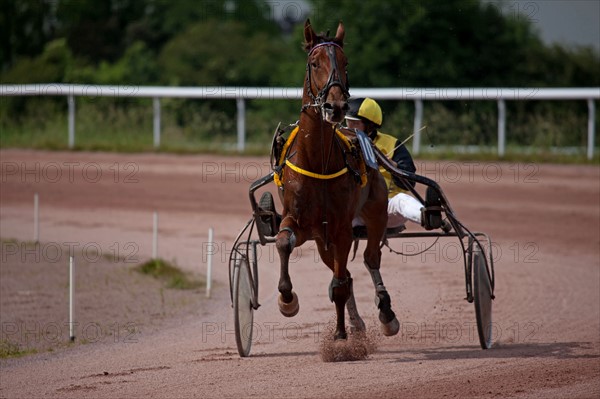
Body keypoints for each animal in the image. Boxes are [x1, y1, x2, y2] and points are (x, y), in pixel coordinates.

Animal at [276, 19, 398, 340]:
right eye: (314, 62)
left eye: (345, 62)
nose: (336, 106)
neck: (317, 160)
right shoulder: (301, 222)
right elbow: (283, 242)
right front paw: (287, 299)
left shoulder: (342, 228)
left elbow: (342, 283)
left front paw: (341, 336)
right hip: (322, 240)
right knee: (341, 272)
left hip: (376, 211)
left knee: (369, 259)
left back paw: (386, 313)